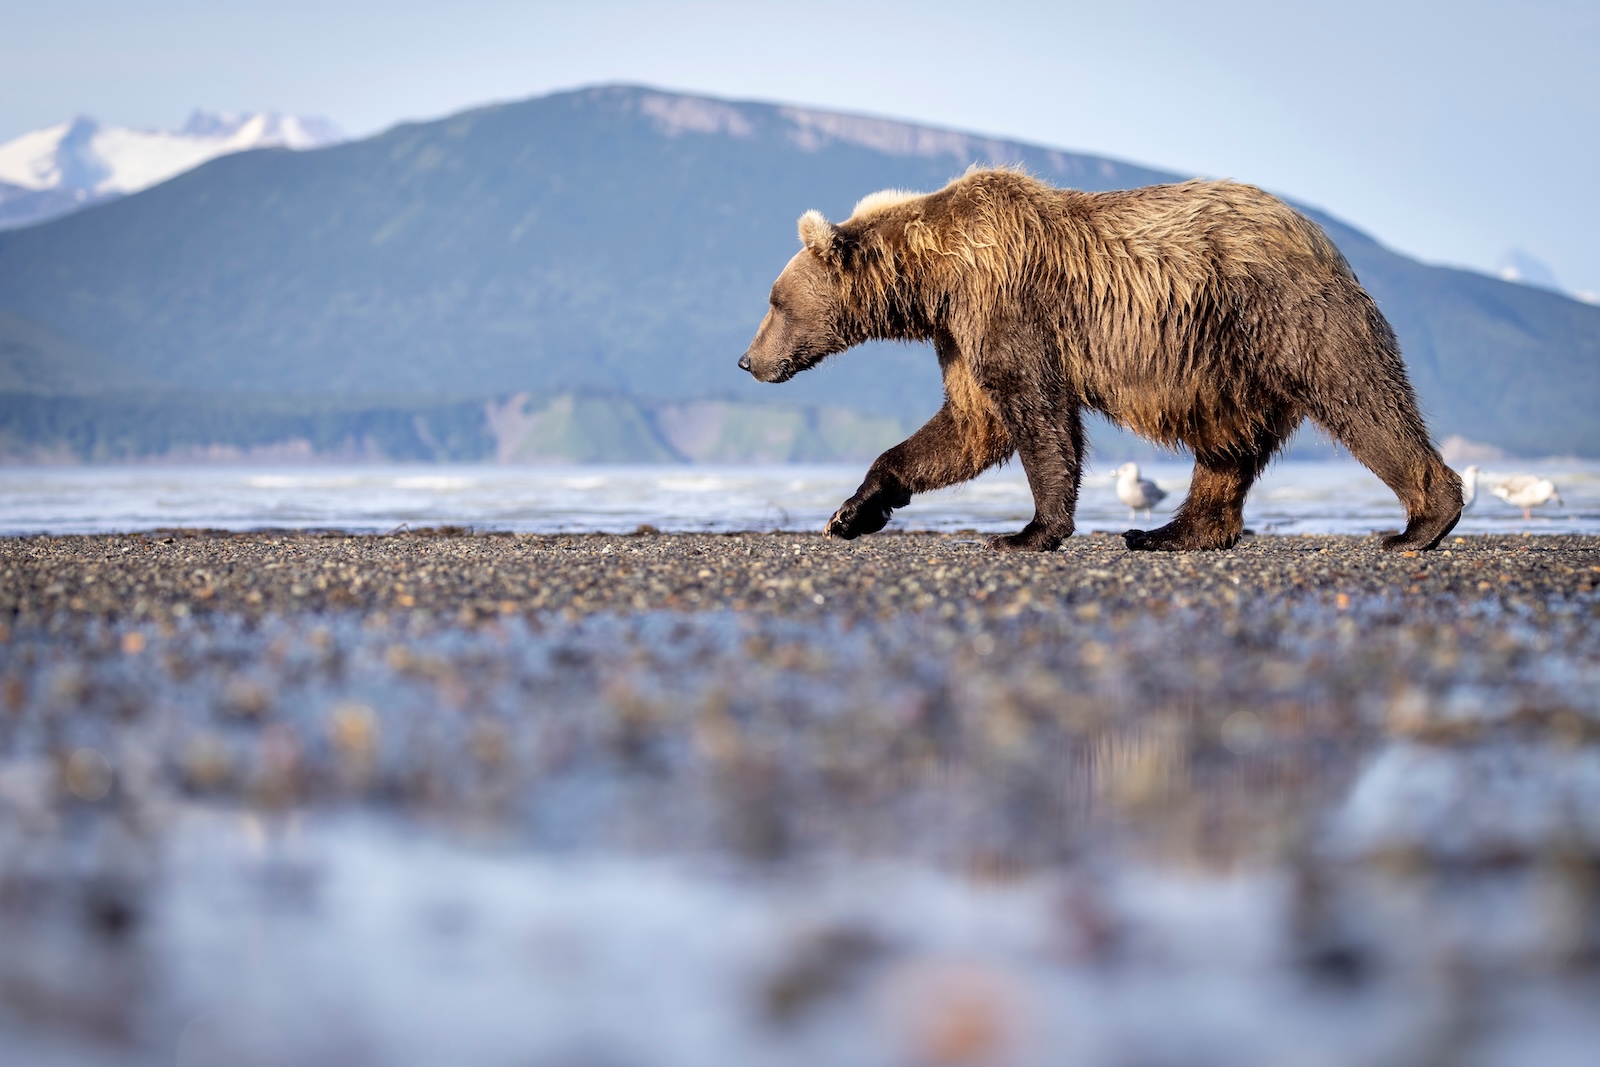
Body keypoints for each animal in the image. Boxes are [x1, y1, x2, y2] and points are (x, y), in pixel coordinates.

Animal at [738, 168, 1463, 553]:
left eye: (774, 301)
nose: (747, 360)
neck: (932, 276)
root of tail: (1321, 236)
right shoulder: (959, 331)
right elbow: (970, 427)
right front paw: (849, 513)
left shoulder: (1007, 304)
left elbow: (1036, 414)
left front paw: (1030, 531)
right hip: (1227, 364)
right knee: (1228, 447)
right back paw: (1169, 532)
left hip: (1288, 315)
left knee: (1363, 399)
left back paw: (1421, 523)